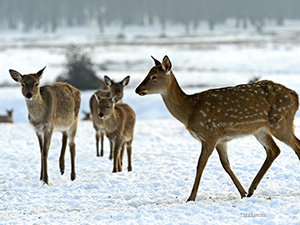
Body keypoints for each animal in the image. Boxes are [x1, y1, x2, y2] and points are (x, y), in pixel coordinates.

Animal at [135, 55, 300, 201]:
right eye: (148, 73)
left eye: (153, 76)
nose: (137, 89)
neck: (190, 111)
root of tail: (295, 96)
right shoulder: (221, 138)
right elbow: (226, 164)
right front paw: (242, 193)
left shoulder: (210, 133)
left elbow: (200, 164)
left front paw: (191, 198)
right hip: (261, 129)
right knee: (274, 150)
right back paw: (251, 189)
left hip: (280, 121)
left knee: (296, 146)